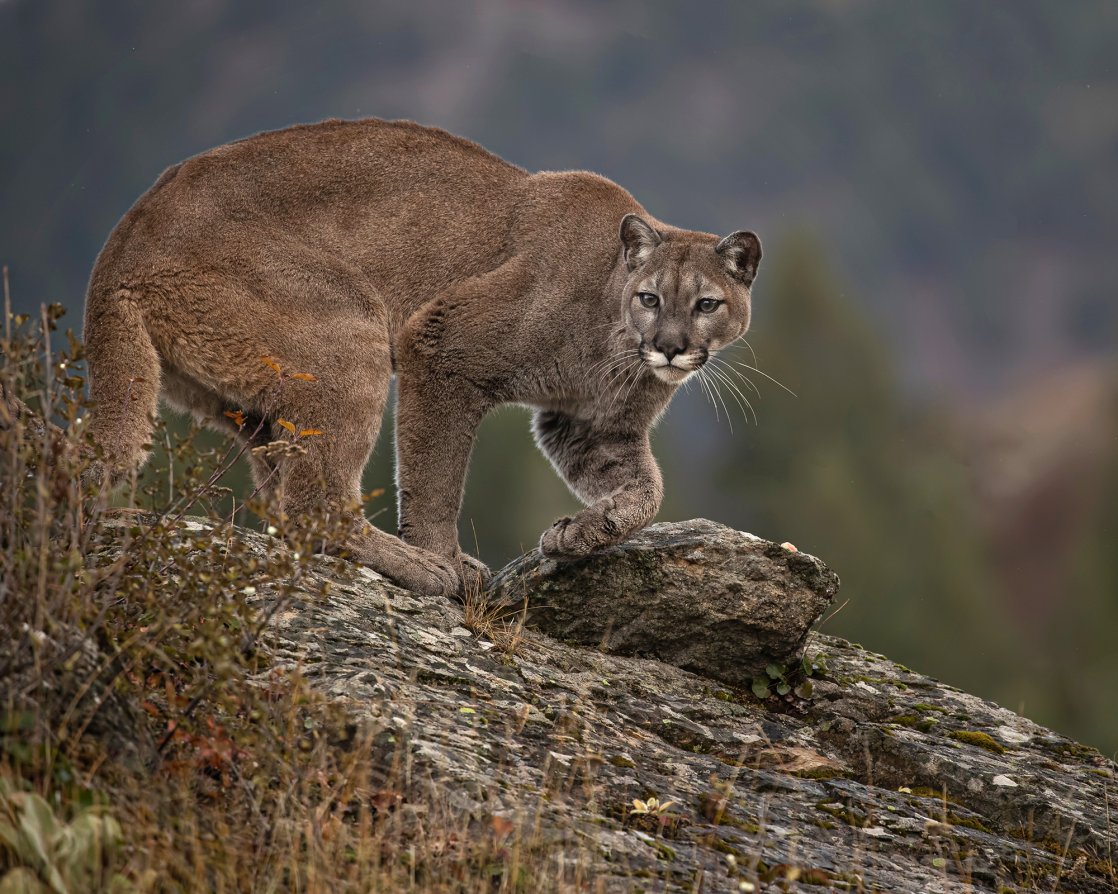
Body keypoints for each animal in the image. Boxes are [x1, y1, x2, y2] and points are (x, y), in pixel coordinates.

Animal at [84, 116, 760, 594]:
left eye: (706, 304)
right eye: (650, 298)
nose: (670, 347)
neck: (613, 344)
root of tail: (118, 249)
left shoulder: (590, 427)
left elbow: (648, 493)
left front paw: (581, 533)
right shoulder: (440, 345)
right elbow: (435, 475)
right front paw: (441, 556)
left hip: (253, 402)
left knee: (282, 499)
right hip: (347, 332)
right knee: (312, 504)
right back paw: (414, 566)